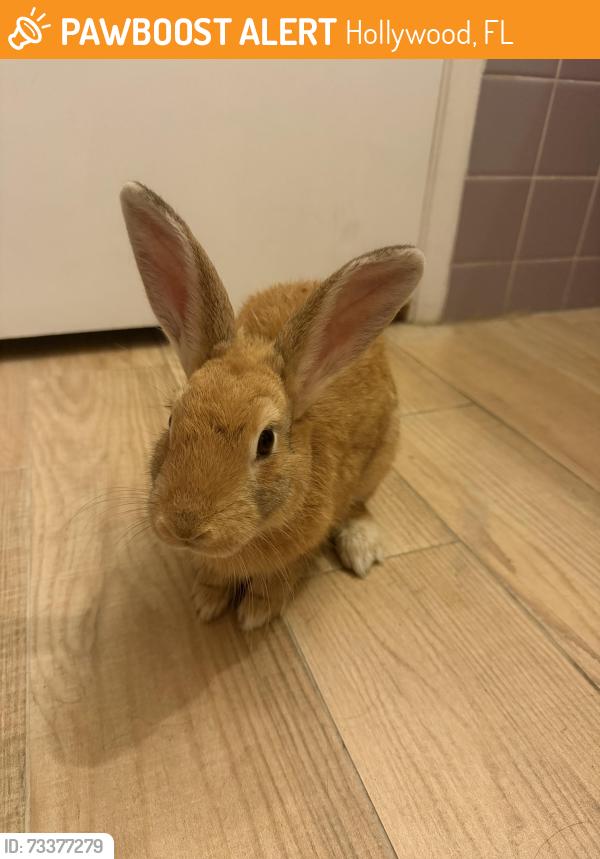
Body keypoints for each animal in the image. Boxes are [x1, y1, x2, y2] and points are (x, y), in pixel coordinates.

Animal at [120, 182, 424, 630]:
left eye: (266, 441)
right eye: (172, 420)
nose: (185, 527)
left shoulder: (302, 546)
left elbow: (281, 576)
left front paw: (256, 612)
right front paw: (207, 601)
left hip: (384, 452)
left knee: (361, 504)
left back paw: (361, 547)